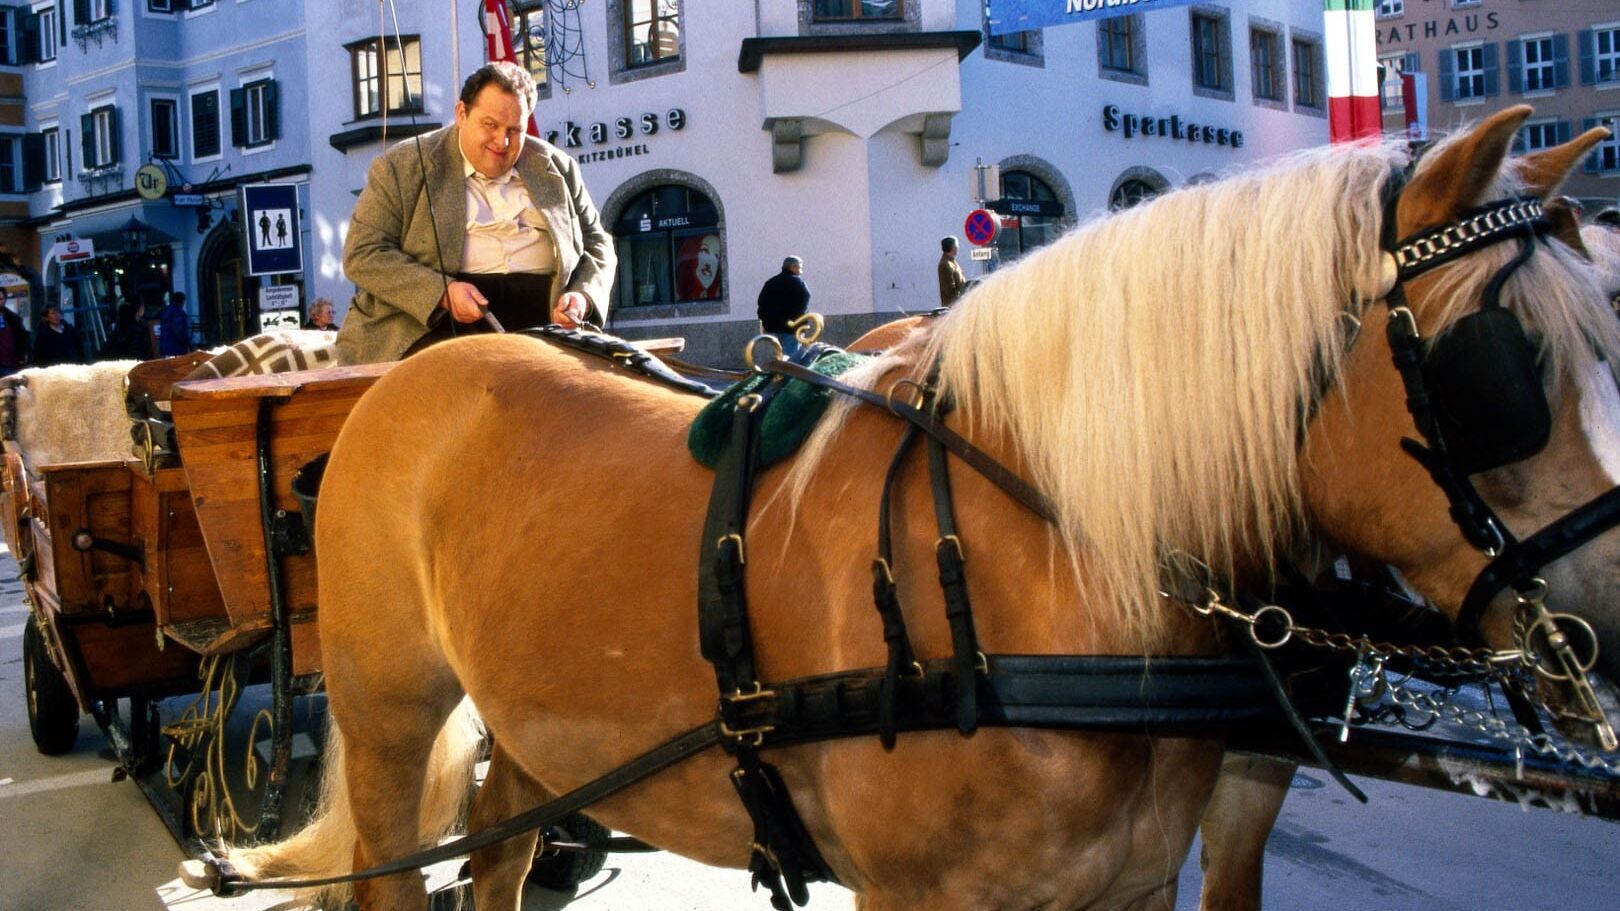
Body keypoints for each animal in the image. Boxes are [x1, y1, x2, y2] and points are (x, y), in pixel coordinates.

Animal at [225, 107, 1620, 907]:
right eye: (1497, 370)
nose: (1613, 626)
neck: (1032, 567)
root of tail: (430, 366)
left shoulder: (1143, 876)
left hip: (531, 720)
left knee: (502, 856)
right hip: (391, 710)